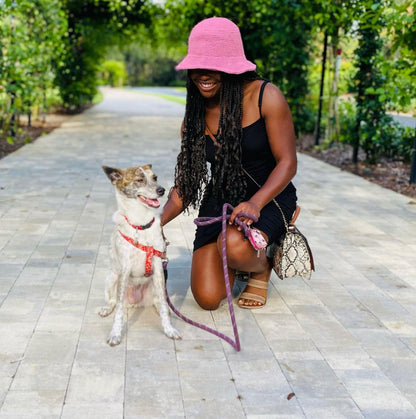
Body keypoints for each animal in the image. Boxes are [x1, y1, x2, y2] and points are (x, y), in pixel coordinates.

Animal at [100, 166, 180, 346]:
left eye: (155, 177)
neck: (141, 224)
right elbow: (119, 309)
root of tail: (136, 302)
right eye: (139, 180)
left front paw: (169, 329)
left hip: (158, 285)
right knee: (113, 300)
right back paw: (106, 308)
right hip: (111, 278)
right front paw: (115, 333)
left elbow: (163, 303)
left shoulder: (158, 267)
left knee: (160, 302)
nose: (162, 190)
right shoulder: (124, 269)